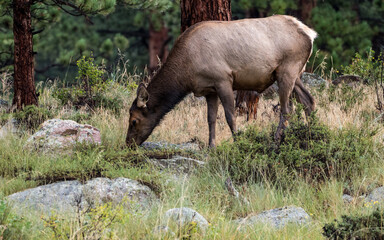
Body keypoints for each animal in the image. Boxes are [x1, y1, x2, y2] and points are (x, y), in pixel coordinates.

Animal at [126, 15, 316, 148]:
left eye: (134, 120)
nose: (128, 144)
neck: (186, 73)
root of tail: (310, 34)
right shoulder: (209, 89)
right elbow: (211, 118)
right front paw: (211, 146)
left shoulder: (223, 79)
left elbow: (230, 116)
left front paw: (238, 142)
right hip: (294, 74)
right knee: (309, 101)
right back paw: (313, 135)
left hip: (287, 70)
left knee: (287, 109)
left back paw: (277, 140)